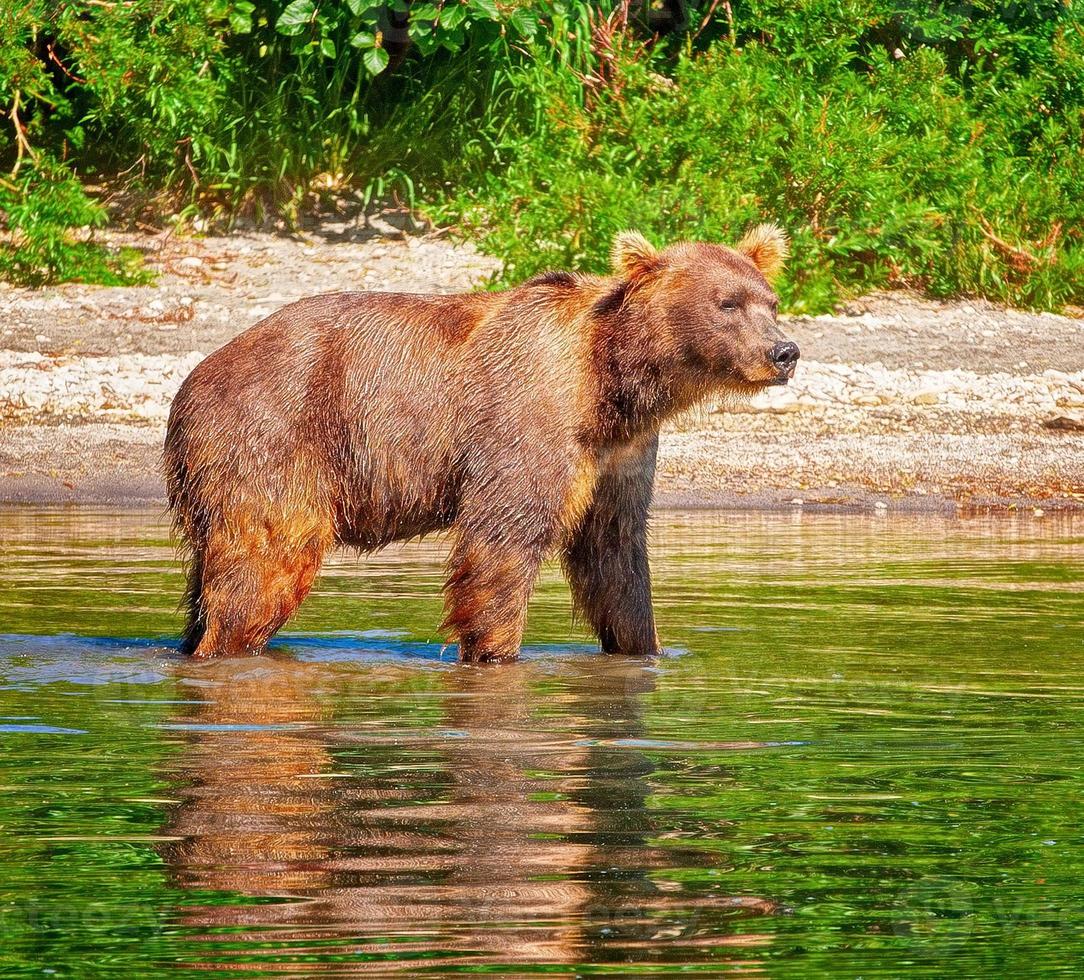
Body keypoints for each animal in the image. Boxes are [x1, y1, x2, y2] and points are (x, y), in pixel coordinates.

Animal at [164, 225, 802, 663]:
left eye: (769, 301)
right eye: (727, 303)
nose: (785, 351)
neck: (612, 381)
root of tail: (193, 381)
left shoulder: (619, 455)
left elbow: (616, 557)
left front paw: (646, 647)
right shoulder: (528, 417)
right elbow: (504, 540)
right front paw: (495, 650)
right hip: (274, 437)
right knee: (264, 561)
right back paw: (228, 646)